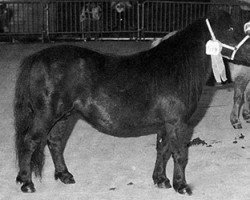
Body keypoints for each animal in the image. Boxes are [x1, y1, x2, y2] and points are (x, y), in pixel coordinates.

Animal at [14, 10, 250, 194]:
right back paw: (26, 183)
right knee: (30, 142)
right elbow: (179, 154)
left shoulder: (166, 123)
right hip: (46, 115)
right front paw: (181, 186)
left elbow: (163, 150)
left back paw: (64, 175)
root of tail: (36, 58)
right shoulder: (178, 123)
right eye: (230, 28)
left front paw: (160, 180)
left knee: (54, 142)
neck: (177, 67)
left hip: (63, 116)